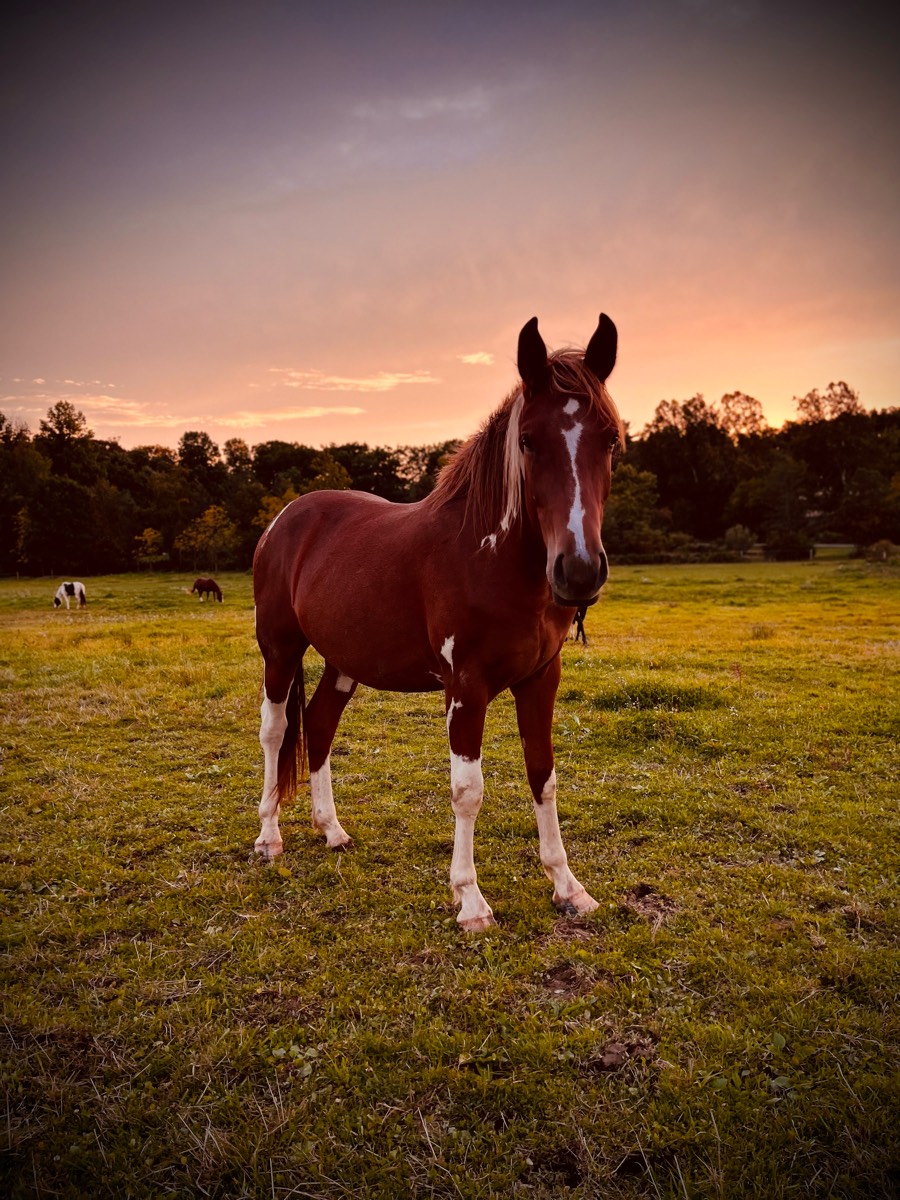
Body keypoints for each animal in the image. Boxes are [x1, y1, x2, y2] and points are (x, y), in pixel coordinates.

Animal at [252, 313, 623, 931]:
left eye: (611, 438)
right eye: (528, 440)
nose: (578, 570)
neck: (487, 557)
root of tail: (287, 518)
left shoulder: (540, 680)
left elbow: (543, 776)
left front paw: (567, 887)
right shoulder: (465, 688)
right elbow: (468, 790)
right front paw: (469, 900)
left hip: (343, 661)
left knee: (320, 725)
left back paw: (332, 831)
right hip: (279, 651)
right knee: (276, 731)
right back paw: (268, 839)